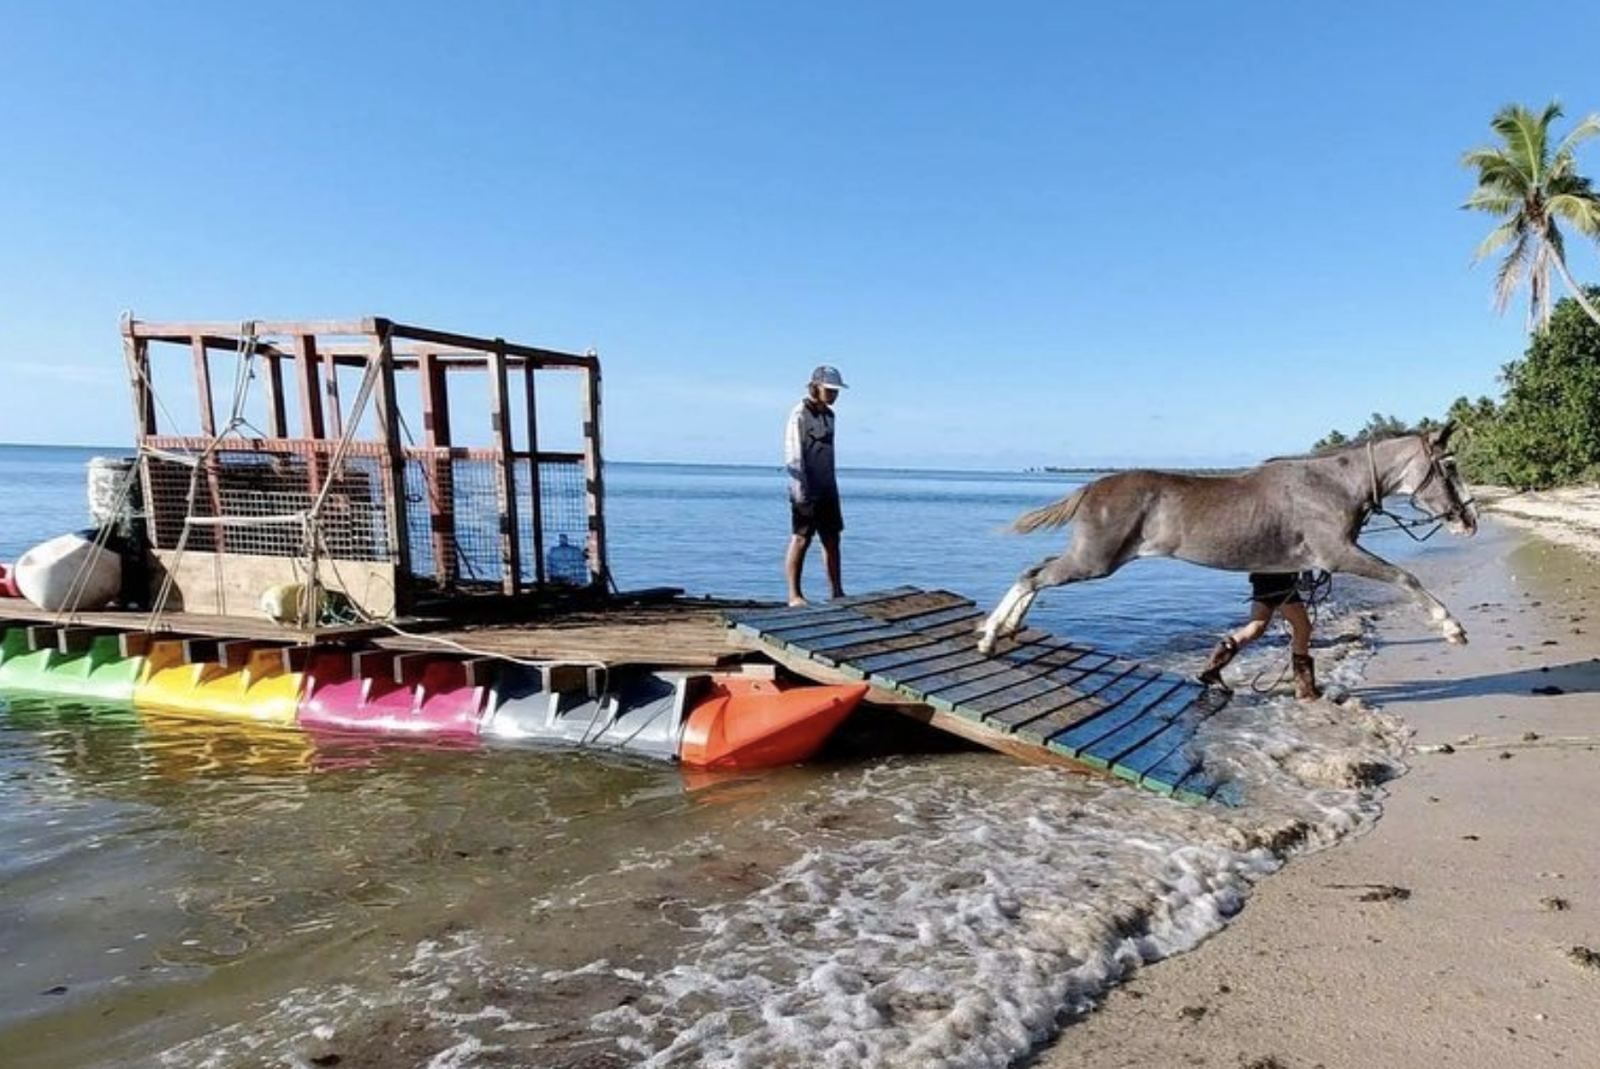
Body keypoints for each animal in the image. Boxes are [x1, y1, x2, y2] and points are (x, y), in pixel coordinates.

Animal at [976, 425, 1478, 655]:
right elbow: (1405, 577)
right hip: (1096, 560)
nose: (1470, 521)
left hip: (1093, 557)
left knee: (1036, 569)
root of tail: (1090, 487)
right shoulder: (1337, 555)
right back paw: (990, 635)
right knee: (1034, 575)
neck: (1332, 484)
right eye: (1449, 466)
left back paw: (1005, 629)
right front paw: (1452, 627)